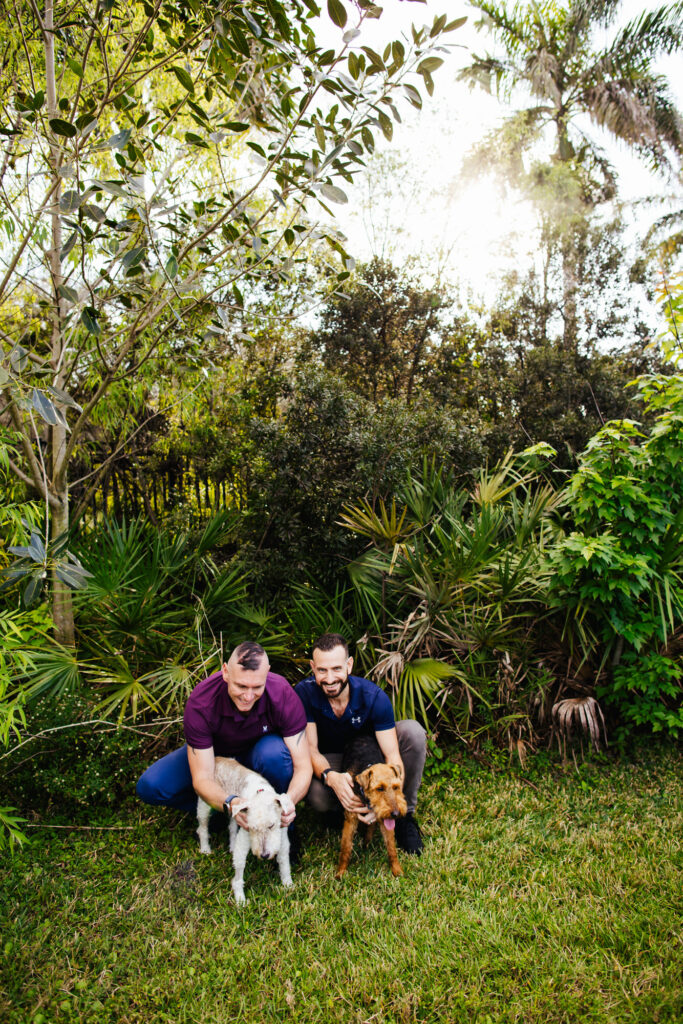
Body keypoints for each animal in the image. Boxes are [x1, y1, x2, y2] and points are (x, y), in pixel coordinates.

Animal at [196, 753, 294, 905]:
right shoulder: (244, 837)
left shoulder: (282, 838)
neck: (260, 793)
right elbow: (239, 871)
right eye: (252, 827)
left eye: (271, 825)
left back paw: (231, 846)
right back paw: (206, 849)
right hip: (204, 805)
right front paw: (240, 899)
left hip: (232, 812)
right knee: (202, 828)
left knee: (231, 827)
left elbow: (284, 863)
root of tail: (217, 759)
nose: (264, 855)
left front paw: (288, 885)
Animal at [335, 737, 405, 880]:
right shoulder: (350, 818)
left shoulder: (385, 820)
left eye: (396, 787)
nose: (396, 814)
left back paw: (366, 843)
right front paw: (341, 873)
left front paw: (397, 870)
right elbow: (345, 848)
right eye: (380, 788)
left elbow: (391, 848)